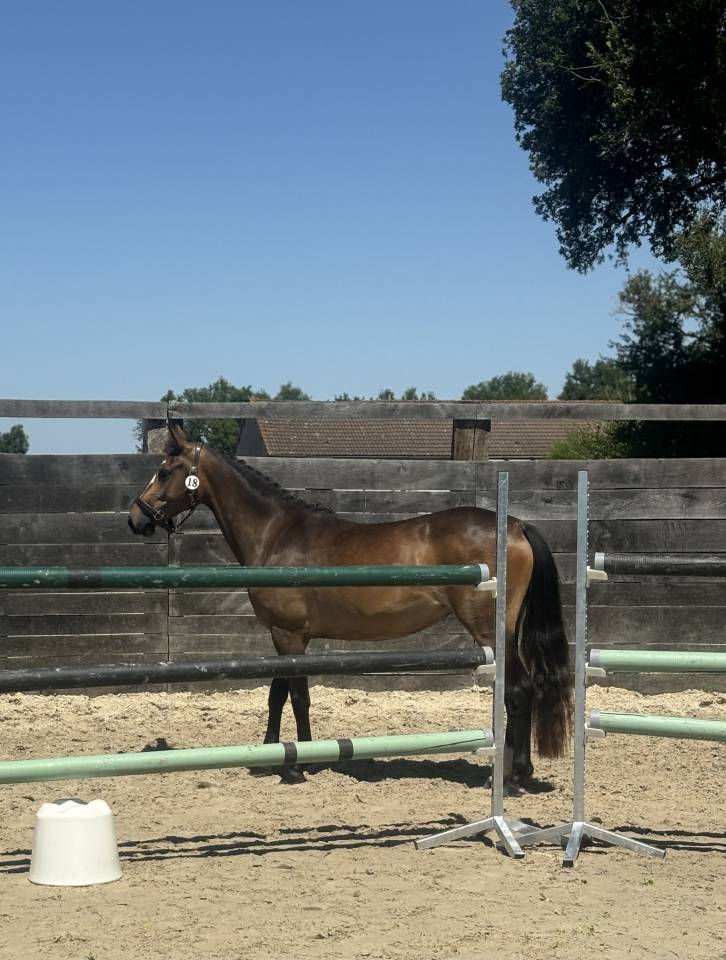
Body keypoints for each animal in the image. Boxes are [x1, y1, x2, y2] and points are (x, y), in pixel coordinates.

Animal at [128, 423, 572, 786]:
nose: (136, 518)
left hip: (492, 631)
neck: (278, 533)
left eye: (165, 470)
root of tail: (516, 525)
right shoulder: (285, 637)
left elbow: (298, 697)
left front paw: (297, 765)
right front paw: (273, 755)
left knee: (518, 691)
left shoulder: (289, 635)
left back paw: (514, 776)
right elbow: (277, 694)